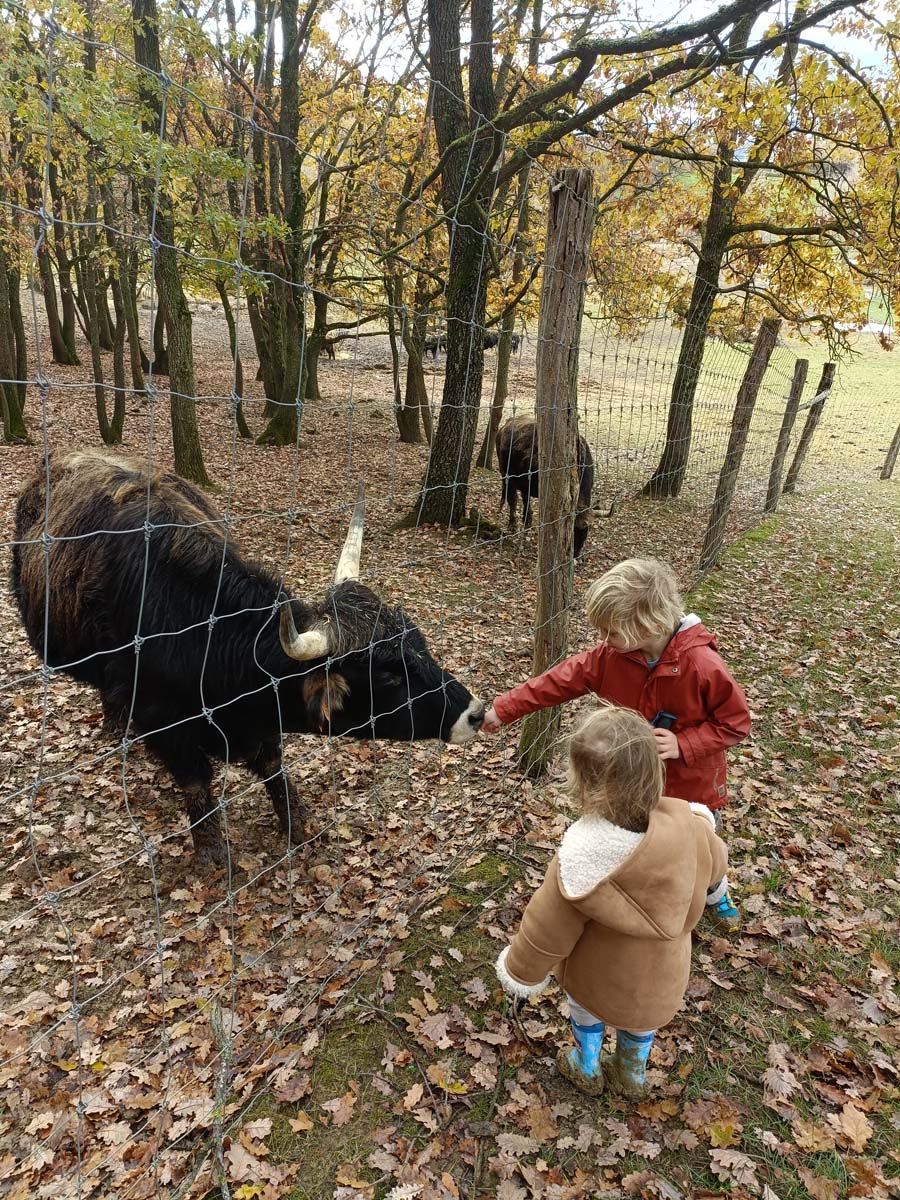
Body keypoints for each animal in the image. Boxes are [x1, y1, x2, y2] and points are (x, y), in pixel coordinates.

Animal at [10, 453, 487, 868]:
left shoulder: (259, 725)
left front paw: (298, 824)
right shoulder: (163, 723)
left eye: (419, 643)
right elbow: (196, 782)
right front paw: (210, 850)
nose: (476, 712)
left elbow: (274, 769)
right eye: (388, 674)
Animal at [496, 417, 595, 556]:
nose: (575, 553)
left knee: (524, 497)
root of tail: (505, 425)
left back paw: (527, 521)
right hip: (507, 476)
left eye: (586, 531)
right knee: (512, 499)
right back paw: (513, 524)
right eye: (573, 530)